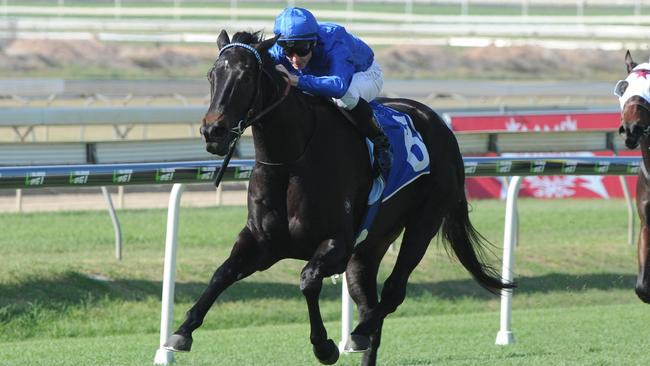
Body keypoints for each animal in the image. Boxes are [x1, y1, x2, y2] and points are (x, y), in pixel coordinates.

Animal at [162, 30, 512, 364]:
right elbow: (222, 274)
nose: (213, 132)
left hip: (423, 222)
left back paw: (357, 333)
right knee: (369, 301)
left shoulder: (337, 243)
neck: (291, 159)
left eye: (246, 77)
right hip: (371, 245)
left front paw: (325, 346)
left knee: (392, 293)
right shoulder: (262, 242)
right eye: (212, 74)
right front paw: (181, 332)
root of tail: (440, 124)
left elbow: (308, 280)